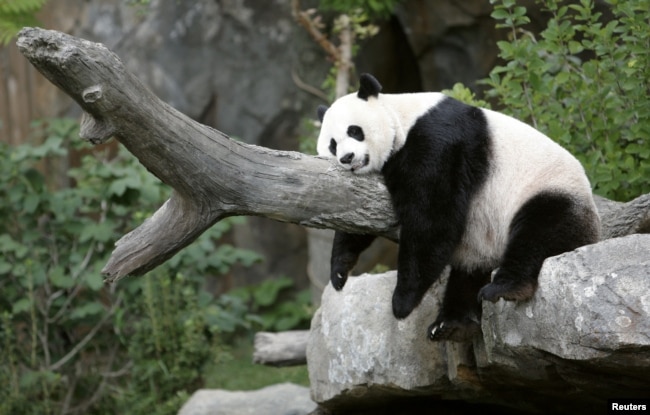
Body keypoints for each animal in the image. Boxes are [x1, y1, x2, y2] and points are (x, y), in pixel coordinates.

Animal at [314, 73, 596, 342]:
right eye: (332, 144)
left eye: (354, 131)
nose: (347, 158)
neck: (402, 118)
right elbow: (359, 214)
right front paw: (339, 272)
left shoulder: (437, 142)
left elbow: (431, 217)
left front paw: (402, 302)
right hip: (481, 242)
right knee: (468, 273)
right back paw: (451, 324)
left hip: (549, 191)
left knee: (539, 233)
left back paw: (505, 288)